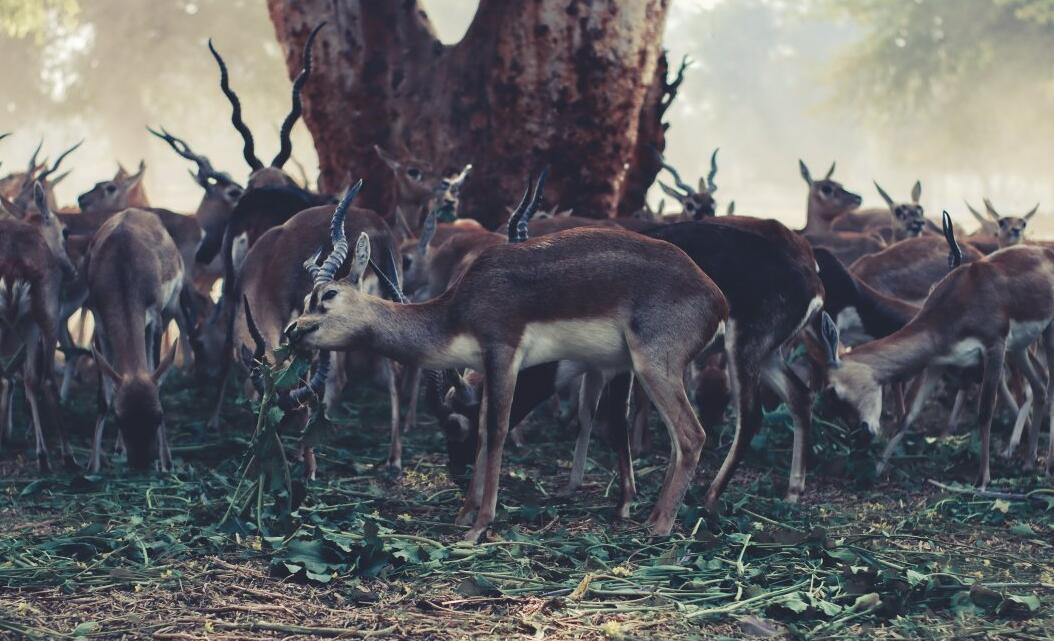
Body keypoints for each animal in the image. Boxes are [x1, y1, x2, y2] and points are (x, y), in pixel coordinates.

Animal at [0, 182, 76, 468]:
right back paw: (68, 455)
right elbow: (36, 379)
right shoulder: (37, 320)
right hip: (46, 314)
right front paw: (46, 454)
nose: (72, 271)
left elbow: (24, 379)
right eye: (65, 231)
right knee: (48, 380)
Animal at [87, 210, 186, 470]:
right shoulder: (99, 322)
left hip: (171, 309)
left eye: (159, 416)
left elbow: (157, 377)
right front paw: (93, 464)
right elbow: (104, 396)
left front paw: (166, 462)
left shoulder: (155, 317)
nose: (142, 462)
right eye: (120, 418)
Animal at [286, 185, 733, 539]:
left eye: (327, 296)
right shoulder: (487, 365)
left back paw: (659, 527)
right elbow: (485, 428)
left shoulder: (503, 354)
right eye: (307, 297)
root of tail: (716, 297)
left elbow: (498, 431)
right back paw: (651, 516)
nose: (293, 332)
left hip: (653, 367)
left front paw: (480, 525)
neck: (458, 309)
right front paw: (464, 512)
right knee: (675, 440)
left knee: (691, 435)